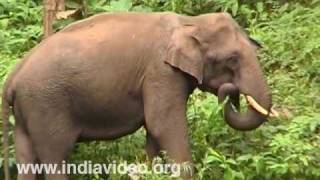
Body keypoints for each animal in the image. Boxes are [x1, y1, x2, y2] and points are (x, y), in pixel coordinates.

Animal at [1, 11, 274, 179]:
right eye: (233, 59)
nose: (232, 91)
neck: (189, 21)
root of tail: (12, 78)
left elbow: (154, 131)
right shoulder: (161, 72)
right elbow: (164, 124)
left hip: (26, 113)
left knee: (26, 157)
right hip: (45, 105)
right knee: (55, 155)